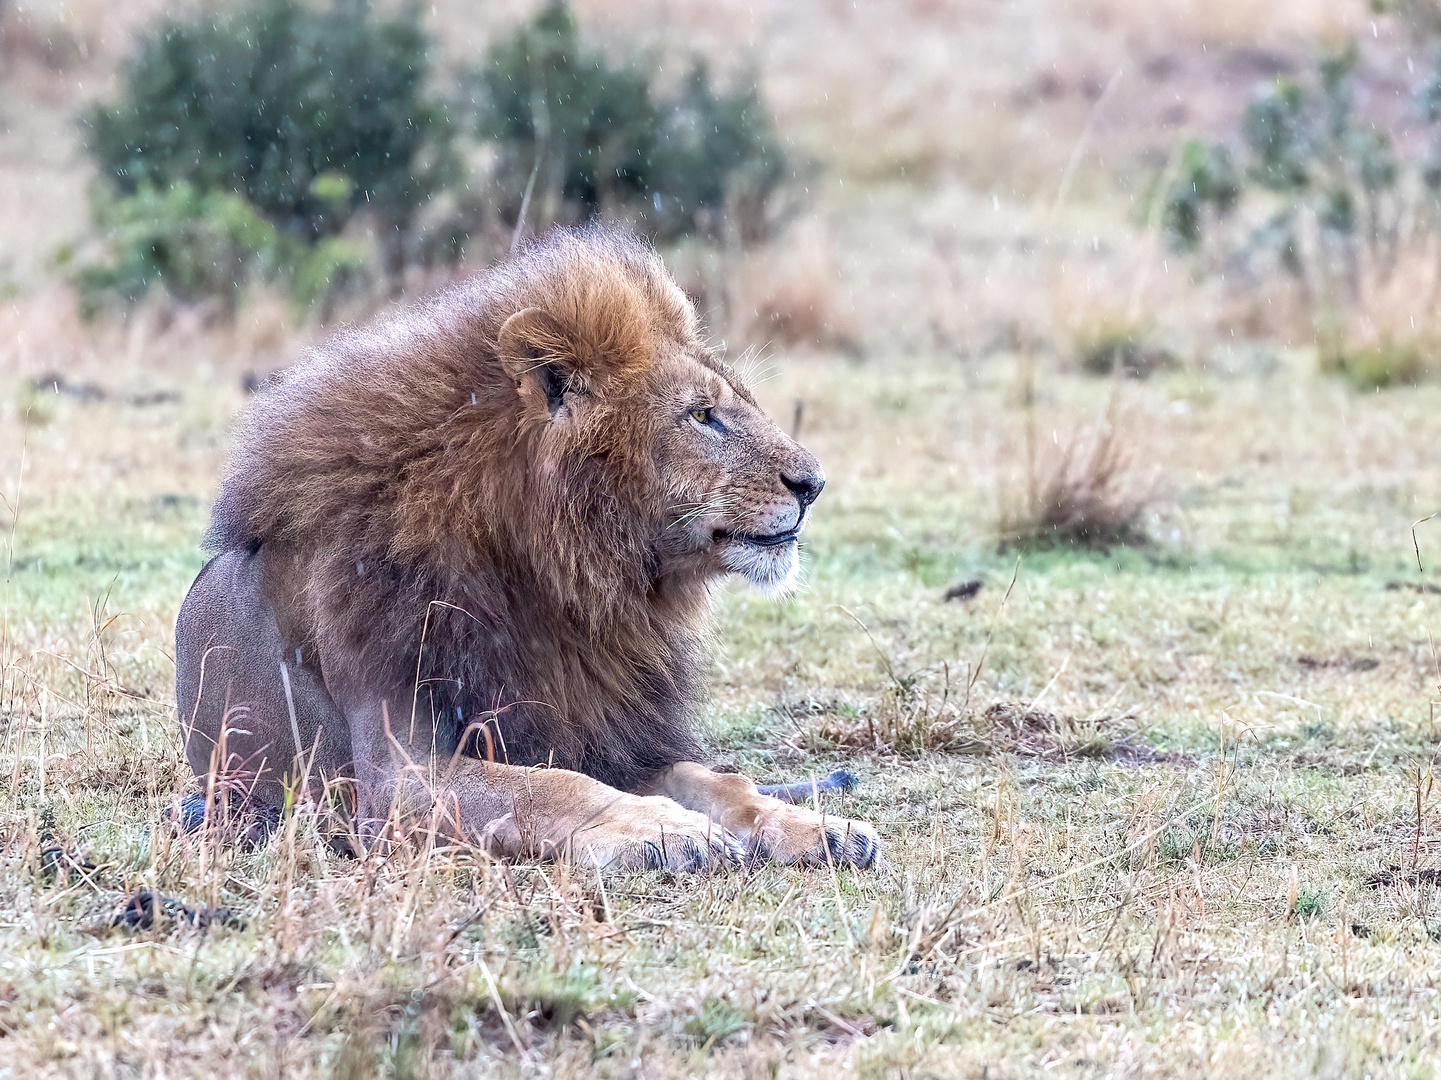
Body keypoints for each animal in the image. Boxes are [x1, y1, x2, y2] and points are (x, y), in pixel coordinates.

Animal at [175, 224, 881, 865]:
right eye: (701, 415)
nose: (814, 484)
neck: (556, 585)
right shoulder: (396, 780)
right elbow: (551, 788)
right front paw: (667, 829)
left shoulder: (603, 732)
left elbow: (712, 779)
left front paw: (814, 826)